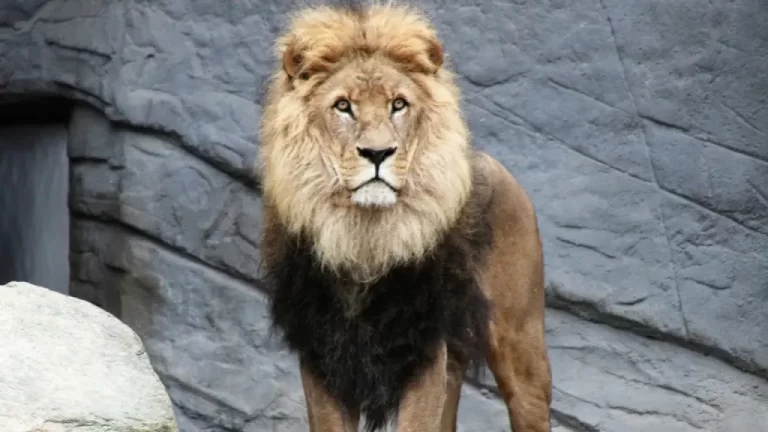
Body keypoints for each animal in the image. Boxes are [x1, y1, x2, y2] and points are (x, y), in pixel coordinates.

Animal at [257, 3, 552, 431]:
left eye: (398, 104)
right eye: (343, 106)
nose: (377, 153)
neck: (364, 236)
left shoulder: (422, 346)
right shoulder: (321, 352)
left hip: (521, 345)